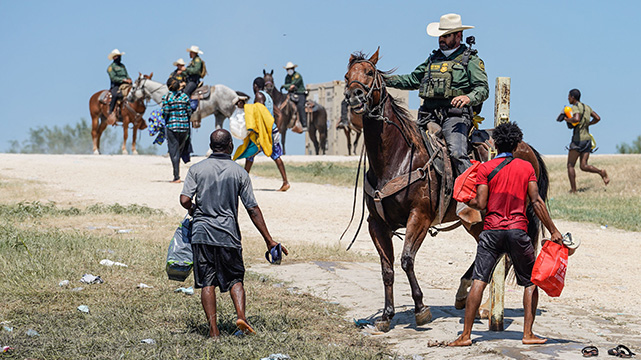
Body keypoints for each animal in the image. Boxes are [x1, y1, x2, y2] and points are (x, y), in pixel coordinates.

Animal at [342, 49, 548, 334]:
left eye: (370, 73)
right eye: (346, 76)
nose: (354, 96)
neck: (397, 158)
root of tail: (527, 148)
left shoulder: (419, 217)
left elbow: (406, 260)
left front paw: (421, 309)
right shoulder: (377, 223)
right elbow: (387, 269)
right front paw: (386, 315)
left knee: (504, 255)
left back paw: (486, 307)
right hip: (477, 222)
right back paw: (465, 295)